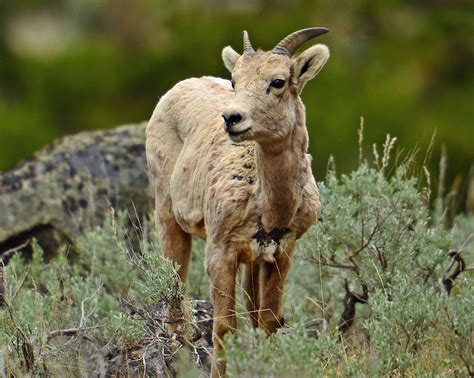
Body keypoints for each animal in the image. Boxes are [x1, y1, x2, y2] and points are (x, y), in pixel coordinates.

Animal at [145, 27, 330, 376]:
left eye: (278, 82)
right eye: (235, 81)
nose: (232, 118)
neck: (271, 209)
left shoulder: (280, 254)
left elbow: (267, 322)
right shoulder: (221, 252)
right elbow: (225, 327)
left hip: (251, 263)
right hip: (168, 216)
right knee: (176, 302)